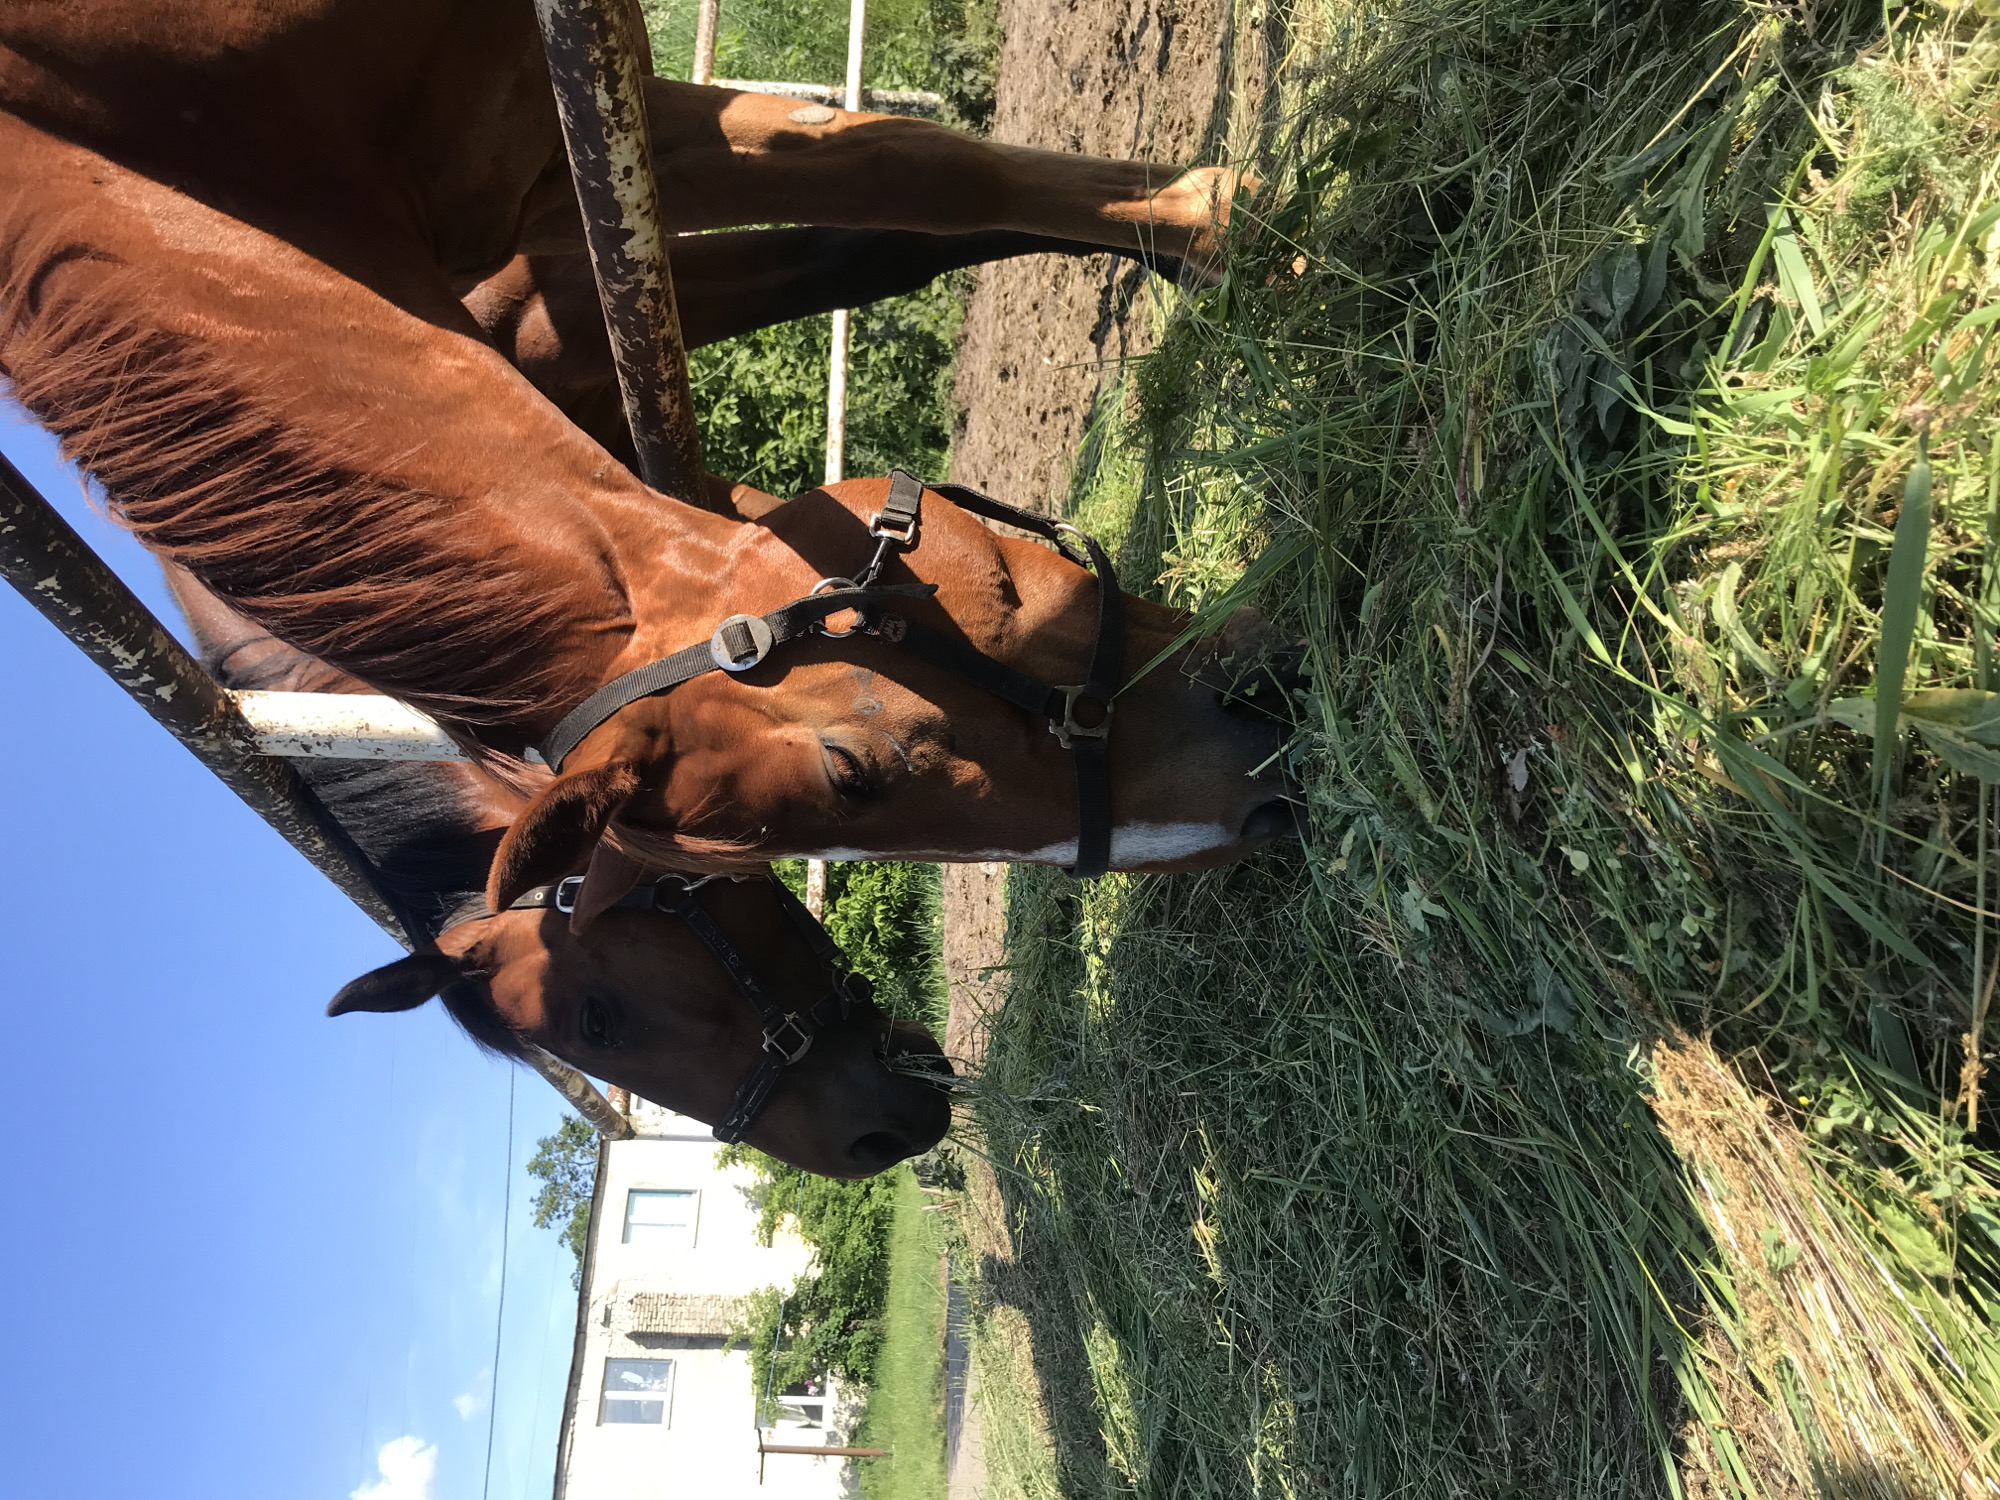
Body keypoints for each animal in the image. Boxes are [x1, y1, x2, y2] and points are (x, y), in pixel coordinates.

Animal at [0, 0, 1298, 898]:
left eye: (851, 770)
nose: (1255, 808)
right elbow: (876, 208)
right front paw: (1221, 235)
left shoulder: (560, 137)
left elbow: (906, 172)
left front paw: (1245, 235)